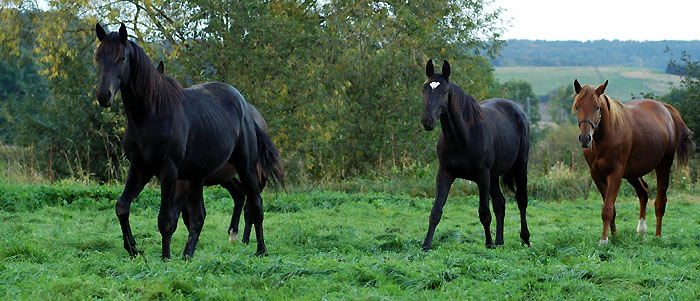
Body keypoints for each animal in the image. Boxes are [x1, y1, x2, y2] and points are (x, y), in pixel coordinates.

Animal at [94, 24, 284, 258]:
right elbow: (122, 207)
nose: (104, 95)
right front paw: (133, 249)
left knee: (255, 205)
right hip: (197, 176)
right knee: (201, 216)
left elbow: (166, 219)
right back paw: (188, 255)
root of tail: (245, 107)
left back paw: (260, 249)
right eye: (98, 57)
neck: (149, 116)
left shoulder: (169, 171)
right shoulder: (140, 169)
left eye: (121, 58)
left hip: (246, 167)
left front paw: (165, 258)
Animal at [422, 59, 532, 250]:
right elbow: (436, 210)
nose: (427, 120)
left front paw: (488, 244)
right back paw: (500, 242)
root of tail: (518, 110)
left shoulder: (482, 176)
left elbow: (484, 213)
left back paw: (525, 238)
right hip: (494, 176)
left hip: (519, 166)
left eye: (444, 91)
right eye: (424, 89)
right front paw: (426, 245)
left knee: (521, 200)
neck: (462, 138)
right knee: (500, 203)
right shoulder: (445, 173)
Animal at [576, 79, 696, 244]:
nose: (585, 138)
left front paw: (604, 240)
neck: (607, 135)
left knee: (660, 202)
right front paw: (614, 237)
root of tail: (665, 109)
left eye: (597, 107)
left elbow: (607, 209)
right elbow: (611, 208)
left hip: (663, 166)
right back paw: (641, 232)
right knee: (643, 192)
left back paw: (657, 236)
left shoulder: (616, 173)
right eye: (577, 106)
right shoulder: (597, 175)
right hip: (632, 173)